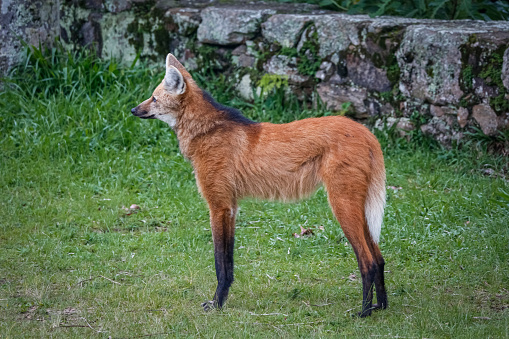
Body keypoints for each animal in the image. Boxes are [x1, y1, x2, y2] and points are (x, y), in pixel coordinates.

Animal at [132, 53, 388, 318]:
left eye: (154, 98)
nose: (133, 109)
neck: (205, 131)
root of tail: (367, 132)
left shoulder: (219, 206)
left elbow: (220, 262)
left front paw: (216, 304)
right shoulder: (231, 207)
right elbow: (228, 263)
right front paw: (221, 301)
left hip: (342, 204)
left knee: (368, 261)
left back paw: (364, 312)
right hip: (359, 207)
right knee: (379, 258)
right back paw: (381, 306)